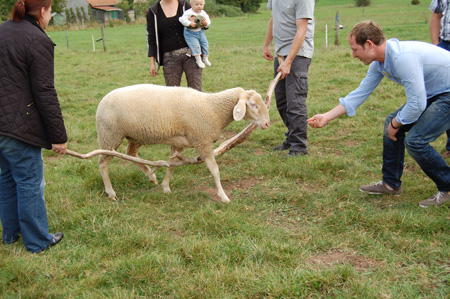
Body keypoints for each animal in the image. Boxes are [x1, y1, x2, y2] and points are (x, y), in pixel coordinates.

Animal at [96, 83, 270, 203]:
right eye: (253, 105)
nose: (267, 124)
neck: (213, 109)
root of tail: (101, 102)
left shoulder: (180, 142)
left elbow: (172, 164)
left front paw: (166, 187)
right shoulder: (203, 141)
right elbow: (215, 170)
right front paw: (223, 196)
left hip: (134, 136)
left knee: (131, 154)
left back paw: (150, 175)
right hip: (110, 135)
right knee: (103, 162)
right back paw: (111, 193)